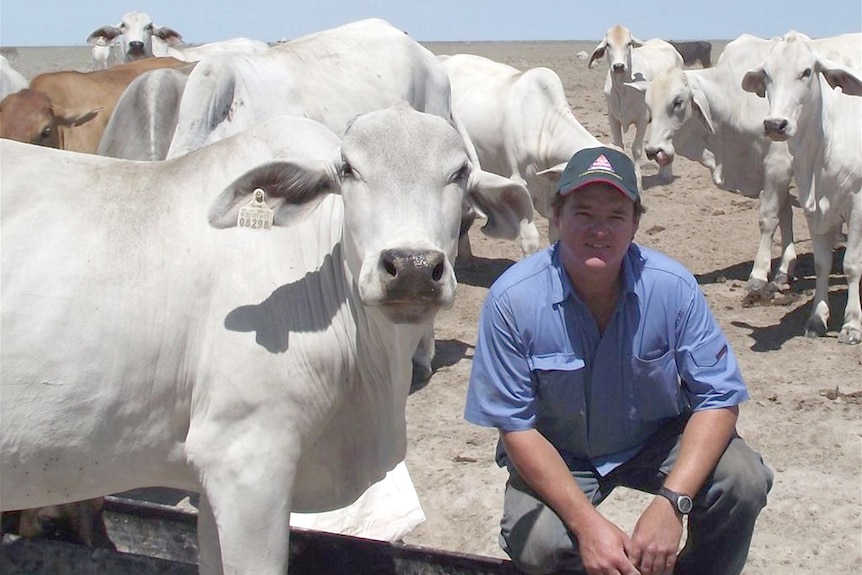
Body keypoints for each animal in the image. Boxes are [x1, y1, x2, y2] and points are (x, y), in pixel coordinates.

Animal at [588, 23, 680, 182]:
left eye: (629, 43)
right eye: (608, 45)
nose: (618, 66)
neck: (622, 88)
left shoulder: (642, 120)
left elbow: (636, 149)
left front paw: (637, 180)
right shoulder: (613, 119)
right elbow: (619, 146)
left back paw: (666, 173)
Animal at [744, 32, 862, 346]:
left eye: (807, 72)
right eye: (767, 74)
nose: (775, 124)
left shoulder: (858, 207)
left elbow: (851, 264)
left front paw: (852, 325)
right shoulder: (814, 211)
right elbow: (822, 264)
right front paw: (817, 319)